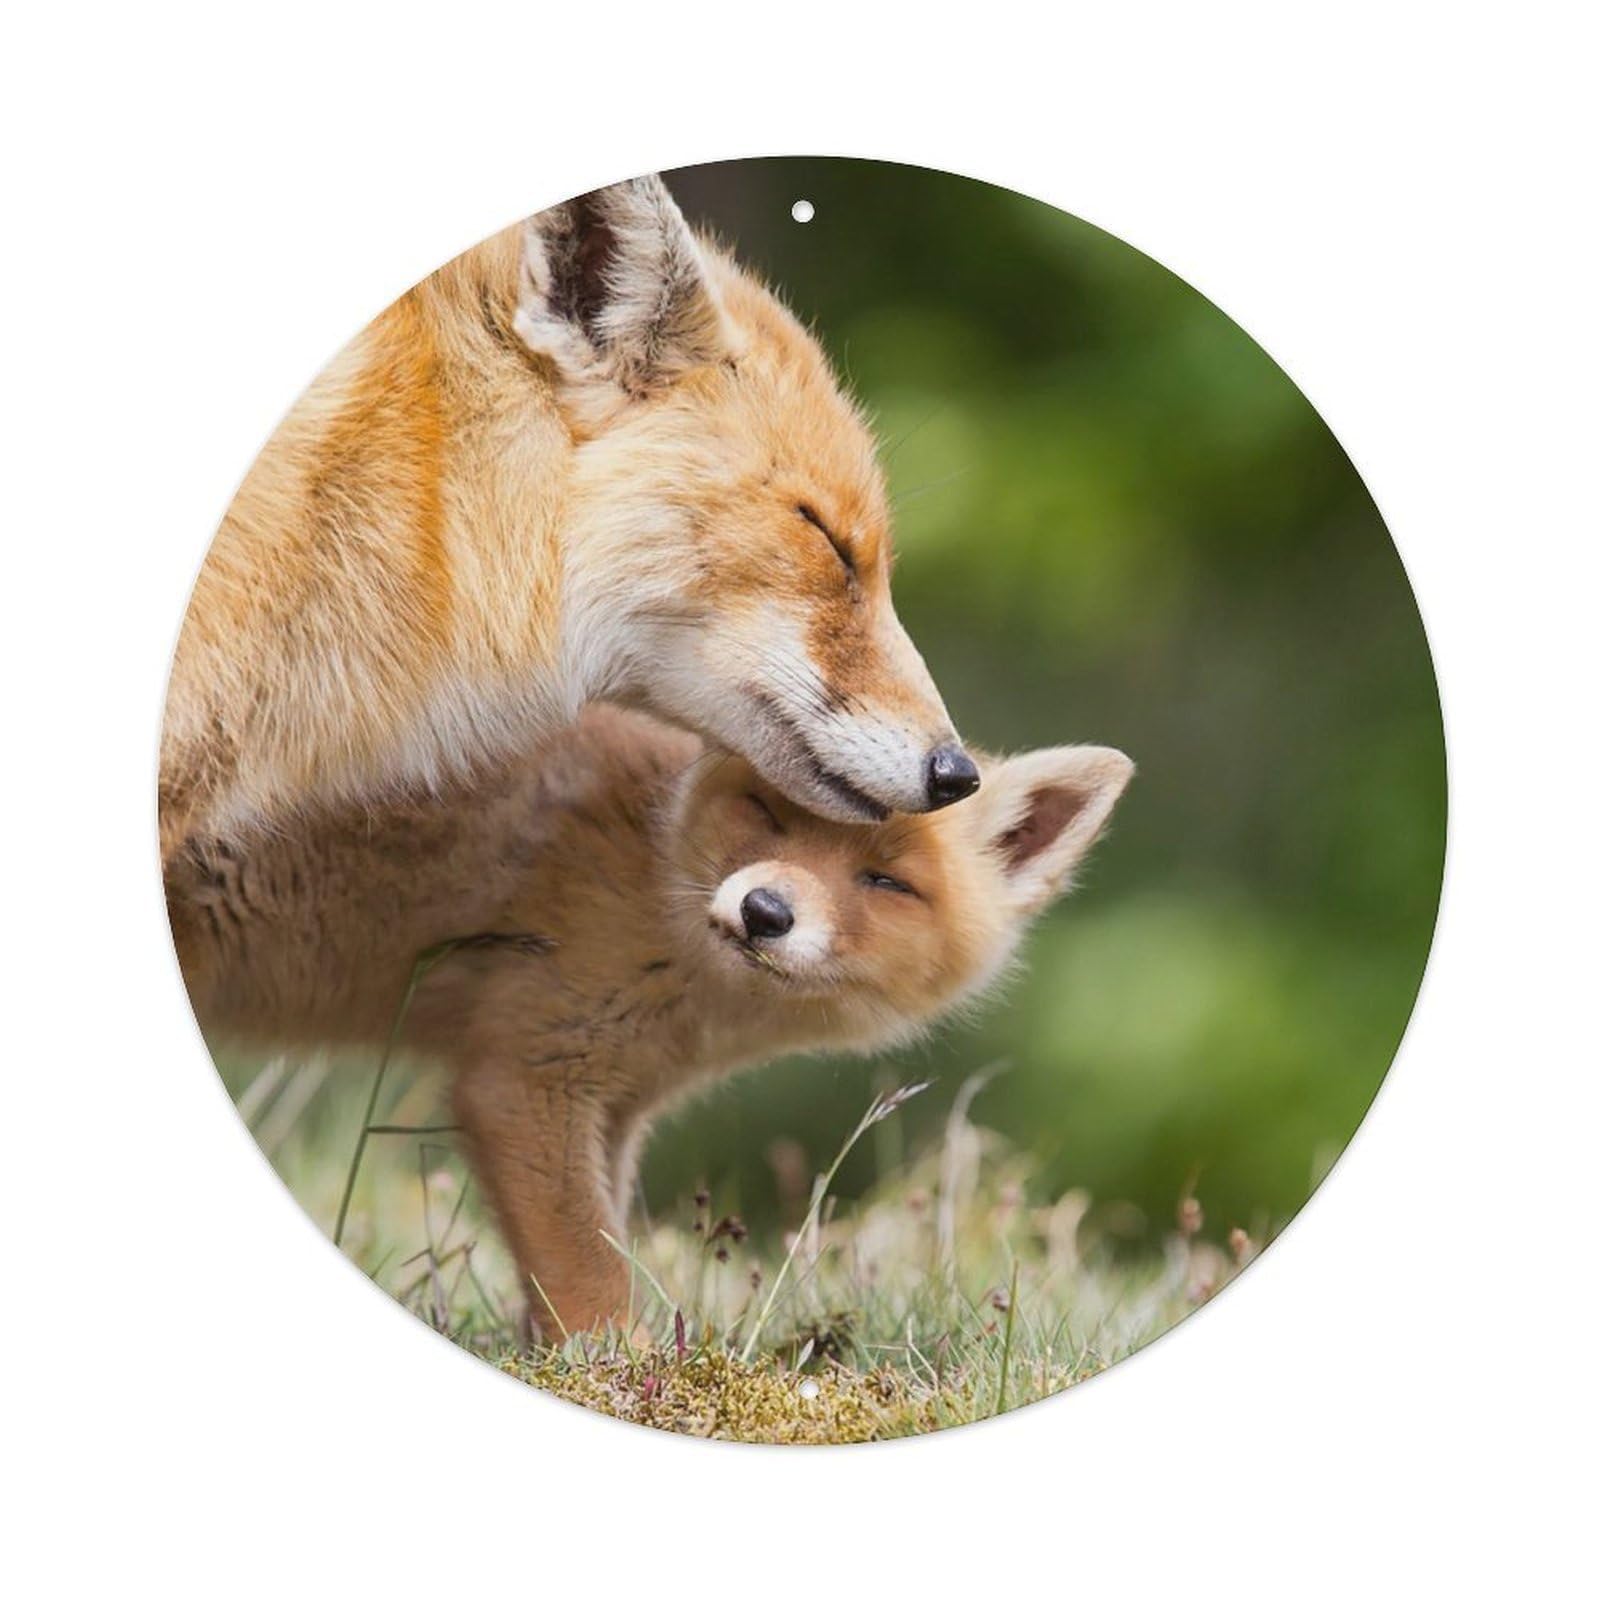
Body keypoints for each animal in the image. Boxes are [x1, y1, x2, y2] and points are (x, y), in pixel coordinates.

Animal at [170, 704, 1132, 1337]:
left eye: (887, 883)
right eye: (770, 813)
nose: (765, 912)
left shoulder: (618, 1105)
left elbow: (595, 1249)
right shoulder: (523, 1080)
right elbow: (590, 1271)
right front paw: (622, 1372)